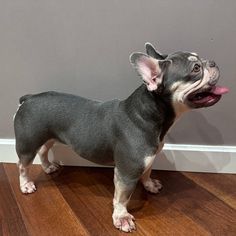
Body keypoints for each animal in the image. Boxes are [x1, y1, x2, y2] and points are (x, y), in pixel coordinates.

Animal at [13, 42, 229, 232]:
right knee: (23, 164)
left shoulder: (147, 160)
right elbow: (122, 197)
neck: (149, 113)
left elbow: (147, 173)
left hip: (47, 136)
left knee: (43, 151)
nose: (213, 62)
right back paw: (25, 184)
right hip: (27, 143)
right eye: (196, 68)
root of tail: (29, 98)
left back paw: (48, 167)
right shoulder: (127, 172)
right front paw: (121, 217)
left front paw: (150, 185)